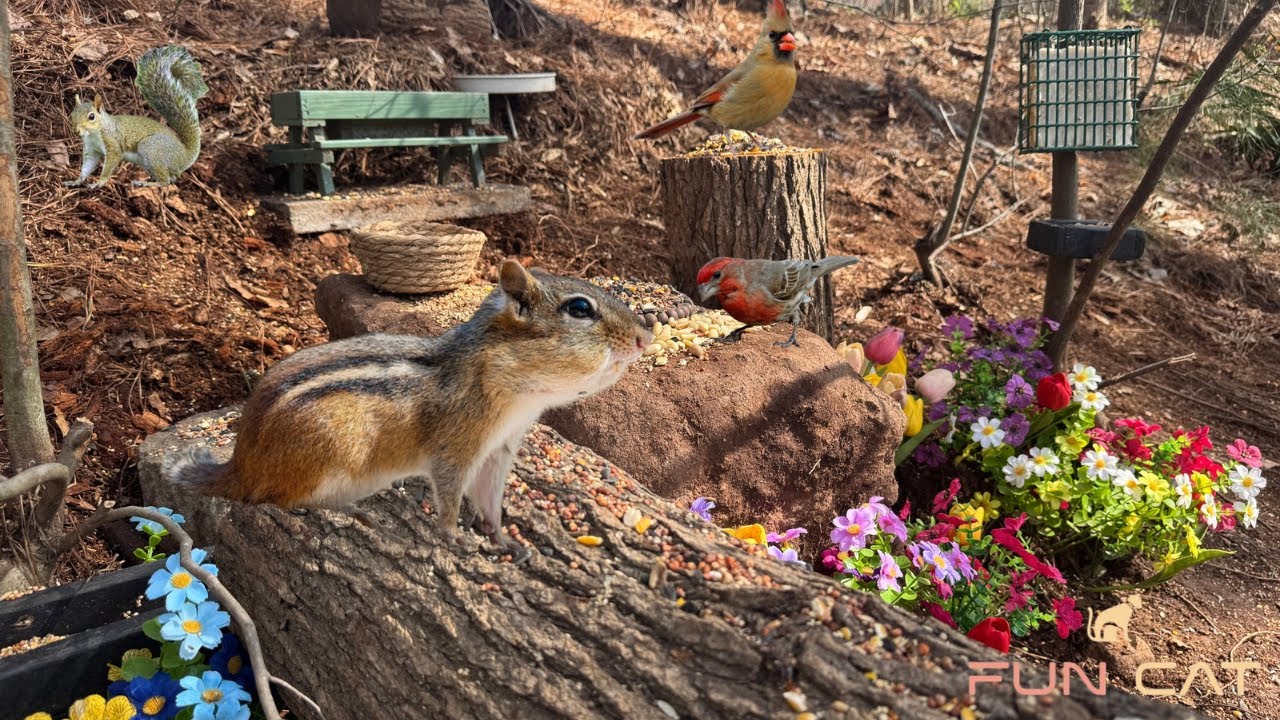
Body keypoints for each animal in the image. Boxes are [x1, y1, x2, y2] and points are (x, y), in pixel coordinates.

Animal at [65, 45, 208, 189]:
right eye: (71, 115)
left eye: (92, 116)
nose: (76, 130)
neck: (95, 133)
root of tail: (184, 155)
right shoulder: (92, 150)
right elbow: (87, 167)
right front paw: (76, 181)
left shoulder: (112, 144)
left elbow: (110, 164)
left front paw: (99, 182)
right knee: (170, 178)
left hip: (152, 149)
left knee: (166, 181)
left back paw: (147, 183)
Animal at [165, 260, 651, 553]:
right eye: (580, 309)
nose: (646, 337)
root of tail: (241, 464)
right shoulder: (456, 448)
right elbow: (450, 495)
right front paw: (454, 537)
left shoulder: (498, 450)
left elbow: (490, 499)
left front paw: (502, 539)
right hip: (331, 453)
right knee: (278, 500)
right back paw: (347, 512)